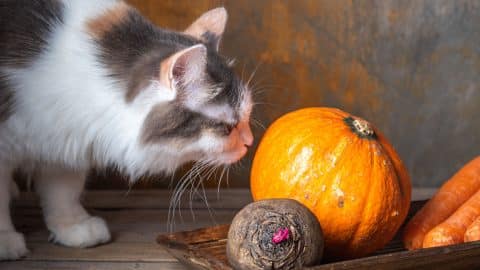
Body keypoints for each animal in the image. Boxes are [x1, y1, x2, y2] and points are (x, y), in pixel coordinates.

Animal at [0, 0, 253, 260]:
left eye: (246, 117)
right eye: (227, 126)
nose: (250, 142)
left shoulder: (65, 136)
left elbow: (62, 189)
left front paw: (72, 227)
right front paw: (5, 240)